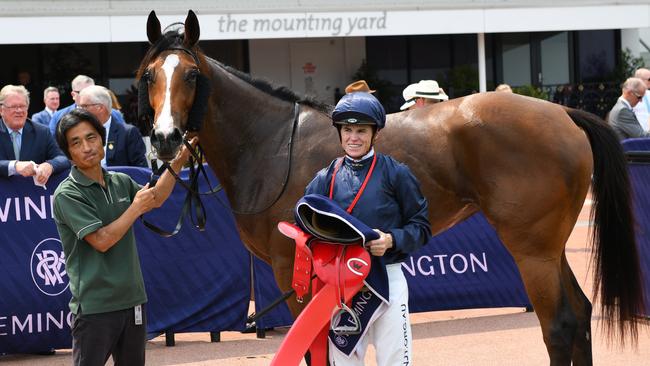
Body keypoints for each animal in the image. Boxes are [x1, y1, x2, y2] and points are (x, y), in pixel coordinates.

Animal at [137, 10, 644, 364]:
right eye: (149, 76)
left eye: (191, 75)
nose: (164, 139)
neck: (273, 141)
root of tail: (563, 113)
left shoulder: (293, 270)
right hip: (549, 248)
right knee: (580, 315)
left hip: (532, 250)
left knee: (559, 325)